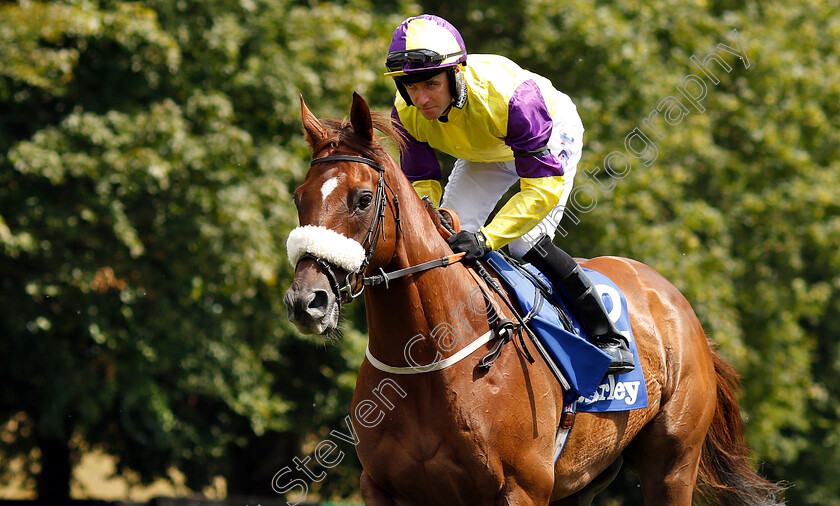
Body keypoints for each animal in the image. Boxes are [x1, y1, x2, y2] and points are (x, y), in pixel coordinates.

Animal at [286, 93, 784, 504]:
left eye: (362, 198)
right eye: (299, 197)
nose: (306, 301)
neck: (429, 359)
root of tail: (675, 300)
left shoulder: (522, 488)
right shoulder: (384, 488)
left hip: (672, 464)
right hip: (583, 480)